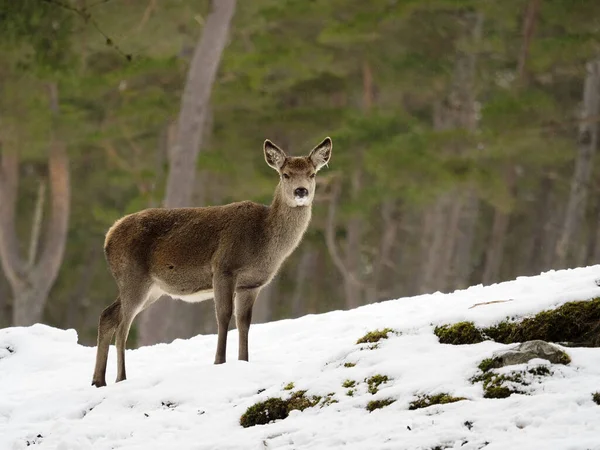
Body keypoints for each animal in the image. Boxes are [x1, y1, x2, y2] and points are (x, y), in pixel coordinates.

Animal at [91, 136, 330, 386]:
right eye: (285, 174)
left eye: (312, 173)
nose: (301, 191)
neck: (263, 239)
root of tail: (108, 236)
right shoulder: (224, 267)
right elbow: (223, 315)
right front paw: (219, 361)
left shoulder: (251, 284)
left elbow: (244, 322)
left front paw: (243, 361)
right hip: (133, 277)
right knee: (122, 328)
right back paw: (121, 378)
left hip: (152, 288)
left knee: (108, 315)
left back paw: (98, 380)